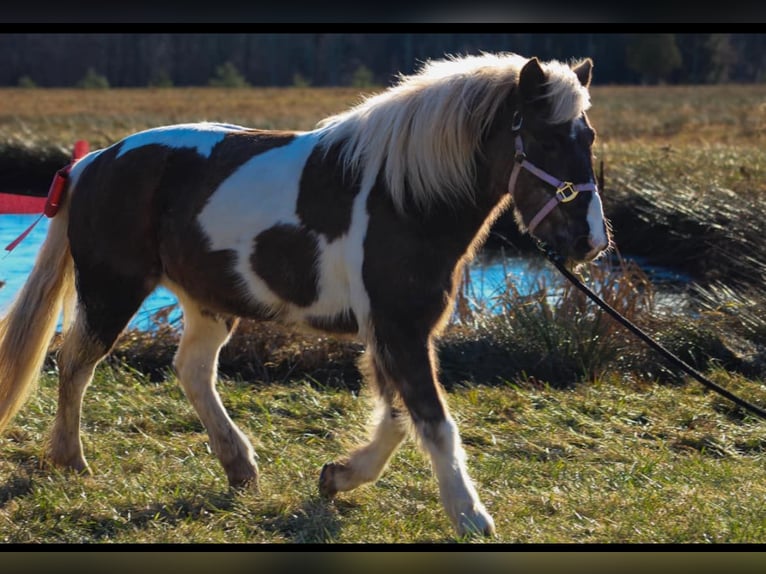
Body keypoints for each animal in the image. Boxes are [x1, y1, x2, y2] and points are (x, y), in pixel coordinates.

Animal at [0, 51, 612, 536]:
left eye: (588, 136)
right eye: (547, 138)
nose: (590, 240)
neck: (403, 197)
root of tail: (90, 163)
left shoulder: (394, 330)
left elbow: (398, 416)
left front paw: (338, 477)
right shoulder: (399, 327)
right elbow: (433, 420)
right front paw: (470, 517)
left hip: (206, 300)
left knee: (191, 370)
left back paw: (240, 467)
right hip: (113, 288)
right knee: (75, 362)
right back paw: (72, 461)